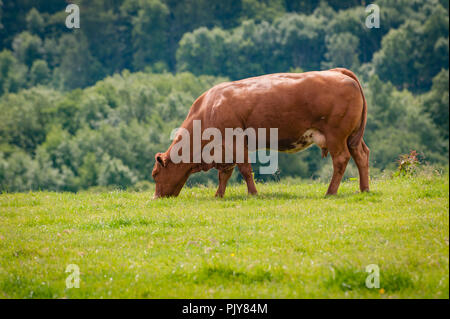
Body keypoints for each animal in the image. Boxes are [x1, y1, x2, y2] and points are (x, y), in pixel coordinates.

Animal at [151, 69, 370, 199]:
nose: (156, 198)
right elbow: (225, 174)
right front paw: (218, 195)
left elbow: (245, 170)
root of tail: (337, 72)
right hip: (352, 138)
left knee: (341, 160)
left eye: (155, 174)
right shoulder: (225, 151)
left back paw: (330, 192)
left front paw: (253, 193)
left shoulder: (235, 143)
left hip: (336, 136)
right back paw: (364, 189)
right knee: (361, 156)